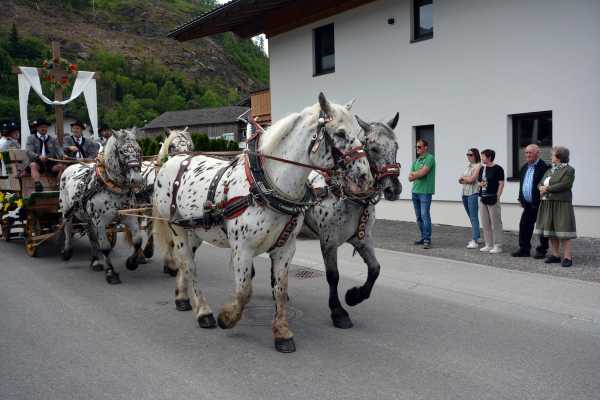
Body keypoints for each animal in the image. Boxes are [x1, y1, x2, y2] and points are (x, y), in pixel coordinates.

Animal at [60, 128, 145, 284]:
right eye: (122, 152)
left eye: (139, 150)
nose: (136, 180)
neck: (112, 186)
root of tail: (71, 166)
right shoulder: (100, 222)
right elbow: (105, 247)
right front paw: (111, 273)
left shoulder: (129, 217)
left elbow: (137, 240)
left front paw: (131, 263)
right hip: (66, 211)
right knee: (68, 229)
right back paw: (67, 252)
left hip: (87, 217)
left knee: (91, 237)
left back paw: (95, 261)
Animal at [152, 94, 372, 354]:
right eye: (339, 133)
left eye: (359, 133)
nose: (365, 177)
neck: (266, 185)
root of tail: (174, 160)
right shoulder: (242, 249)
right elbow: (244, 291)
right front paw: (227, 317)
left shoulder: (285, 248)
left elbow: (280, 289)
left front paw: (282, 333)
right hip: (177, 228)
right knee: (189, 265)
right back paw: (203, 312)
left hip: (195, 231)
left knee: (186, 264)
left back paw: (182, 298)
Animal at [304, 112, 404, 328]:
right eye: (373, 148)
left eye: (396, 146)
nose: (394, 189)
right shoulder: (328, 241)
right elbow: (333, 276)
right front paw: (338, 312)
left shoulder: (362, 238)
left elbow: (375, 269)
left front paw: (354, 296)